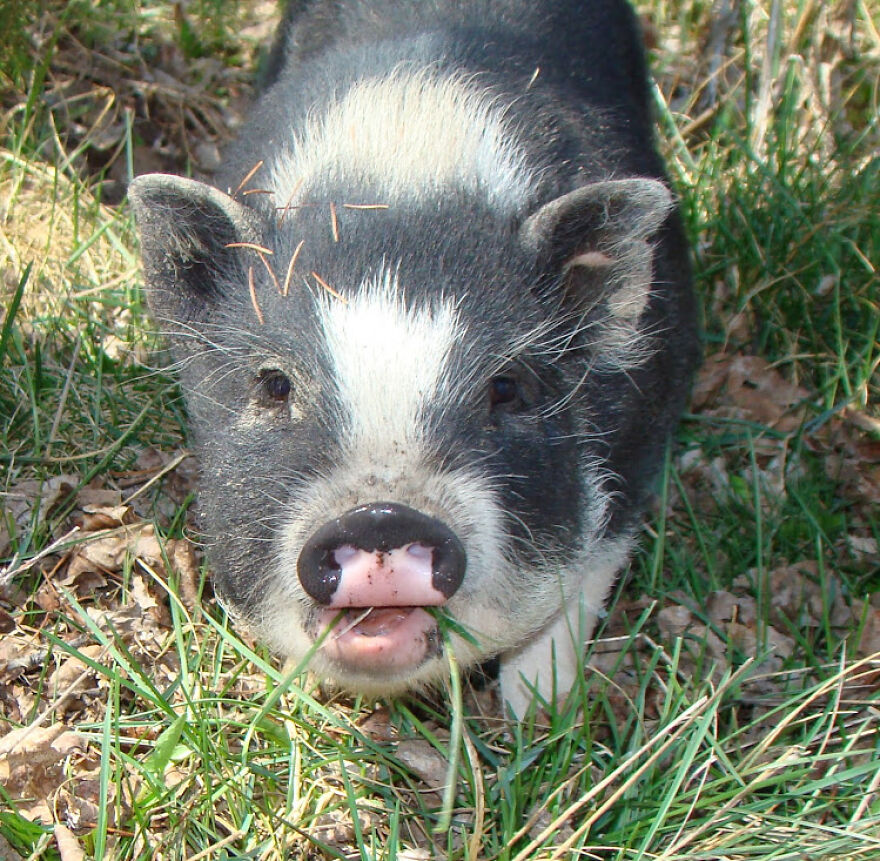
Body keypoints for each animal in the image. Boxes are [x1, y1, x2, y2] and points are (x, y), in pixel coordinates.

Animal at [129, 0, 699, 717]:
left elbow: (588, 574)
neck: (407, 176)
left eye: (506, 388)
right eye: (274, 384)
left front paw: (538, 712)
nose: (381, 518)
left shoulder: (649, 415)